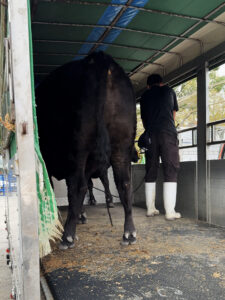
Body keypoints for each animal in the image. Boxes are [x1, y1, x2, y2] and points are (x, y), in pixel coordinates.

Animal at [36, 52, 136, 251]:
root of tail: (100, 58)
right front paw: (80, 215)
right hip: (121, 146)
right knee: (124, 184)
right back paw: (129, 233)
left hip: (79, 146)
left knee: (78, 187)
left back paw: (67, 236)